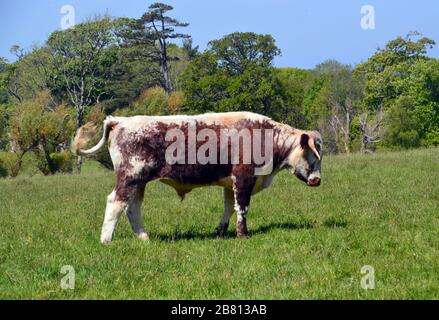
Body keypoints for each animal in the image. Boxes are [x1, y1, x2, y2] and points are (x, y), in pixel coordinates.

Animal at [72, 111, 324, 244]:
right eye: (313, 156)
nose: (317, 180)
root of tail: (121, 120)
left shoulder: (229, 183)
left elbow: (229, 207)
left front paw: (221, 231)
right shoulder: (244, 178)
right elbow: (242, 208)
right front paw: (243, 234)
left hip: (139, 182)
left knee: (132, 208)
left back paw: (144, 238)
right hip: (130, 177)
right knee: (116, 202)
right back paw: (106, 240)